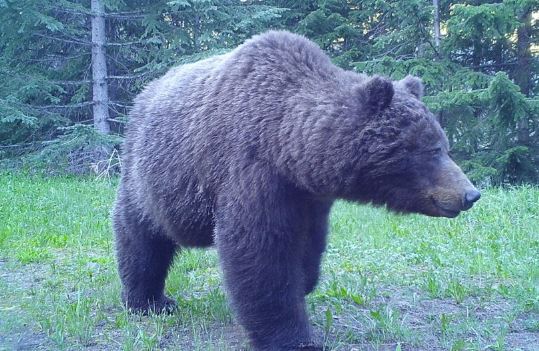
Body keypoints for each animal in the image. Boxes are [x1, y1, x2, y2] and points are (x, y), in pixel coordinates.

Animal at [113, 31, 480, 351]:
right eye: (432, 149)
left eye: (444, 145)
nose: (470, 194)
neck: (289, 147)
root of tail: (144, 94)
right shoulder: (251, 171)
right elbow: (261, 256)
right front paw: (294, 337)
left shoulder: (309, 198)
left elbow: (309, 246)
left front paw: (304, 281)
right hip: (152, 174)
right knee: (140, 233)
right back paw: (150, 300)